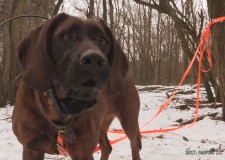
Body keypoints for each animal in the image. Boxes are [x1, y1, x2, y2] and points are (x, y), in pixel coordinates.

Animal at [12, 13, 142, 159]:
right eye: (67, 36)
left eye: (103, 40)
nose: (94, 59)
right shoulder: (31, 148)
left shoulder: (83, 151)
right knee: (107, 147)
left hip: (129, 121)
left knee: (134, 145)